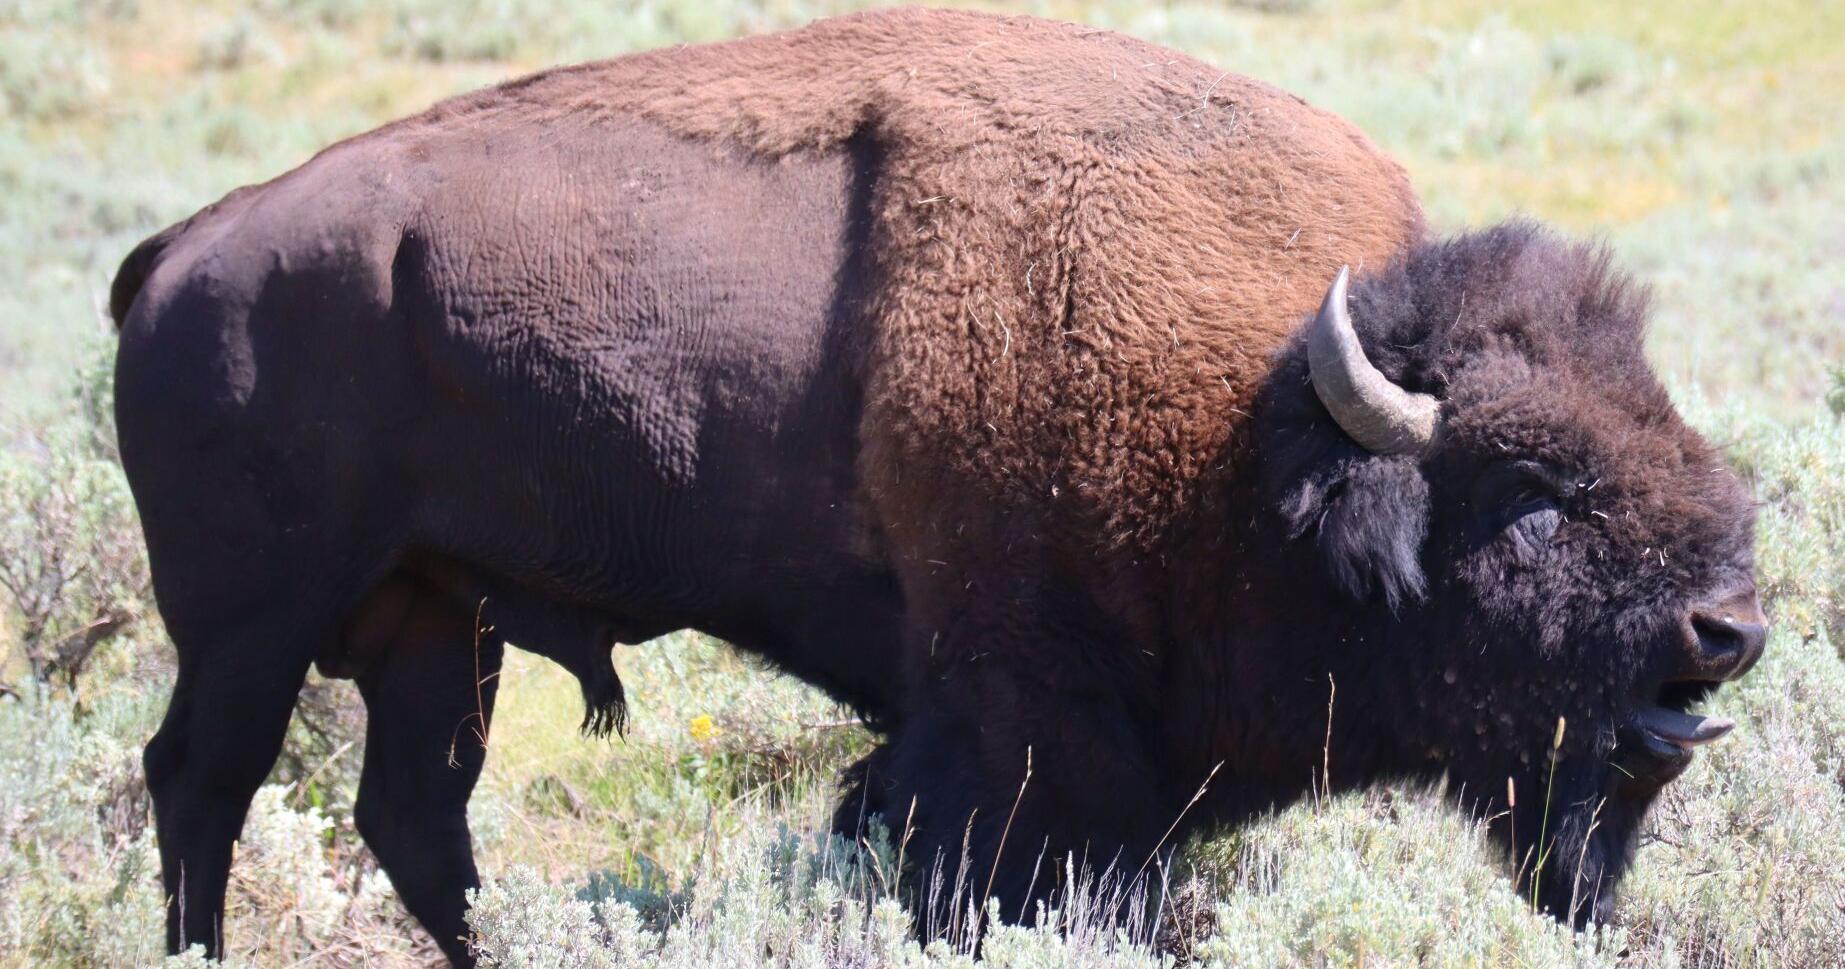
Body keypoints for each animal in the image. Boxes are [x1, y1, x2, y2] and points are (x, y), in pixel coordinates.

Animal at [109, 8, 1763, 964]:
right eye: (1530, 488)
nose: (1728, 627)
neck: (1261, 420)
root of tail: (189, 247)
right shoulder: (1020, 716)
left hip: (430, 620)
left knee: (414, 812)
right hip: (257, 621)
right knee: (203, 781)